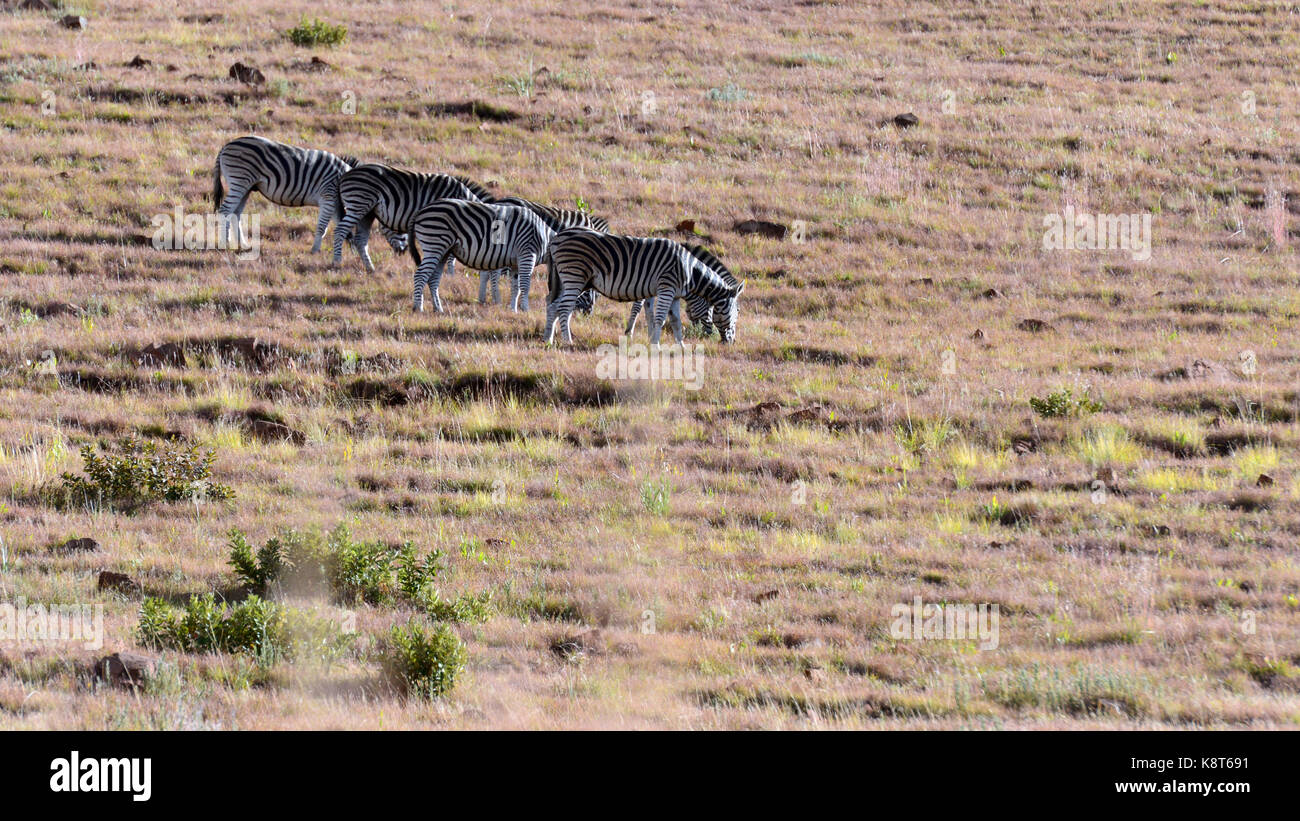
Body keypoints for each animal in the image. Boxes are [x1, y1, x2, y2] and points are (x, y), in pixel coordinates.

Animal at [210, 134, 369, 253]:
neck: (342, 178)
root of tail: (225, 146)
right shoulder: (328, 196)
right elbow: (323, 226)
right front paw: (315, 251)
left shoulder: (334, 201)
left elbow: (341, 223)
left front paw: (352, 250)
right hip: (240, 181)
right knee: (225, 210)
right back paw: (225, 244)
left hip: (246, 187)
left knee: (235, 213)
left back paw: (243, 245)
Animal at [332, 163, 493, 272]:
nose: (402, 252)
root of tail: (345, 175)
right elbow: (450, 255)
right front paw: (450, 275)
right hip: (358, 204)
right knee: (340, 230)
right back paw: (337, 262)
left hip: (368, 212)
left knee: (360, 240)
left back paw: (370, 268)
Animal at [410, 200, 553, 313]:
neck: (546, 238)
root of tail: (420, 211)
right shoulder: (527, 254)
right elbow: (525, 285)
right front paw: (525, 309)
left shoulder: (516, 263)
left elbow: (515, 288)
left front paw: (514, 310)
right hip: (435, 244)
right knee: (420, 275)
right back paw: (418, 308)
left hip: (443, 251)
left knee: (433, 279)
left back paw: (438, 309)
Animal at [478, 196, 608, 307]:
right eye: (595, 291)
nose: (587, 312)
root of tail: (498, 202)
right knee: (494, 272)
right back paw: (496, 300)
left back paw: (482, 299)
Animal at [543, 229, 743, 345]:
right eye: (738, 311)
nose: (731, 342)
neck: (690, 270)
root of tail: (556, 238)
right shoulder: (666, 288)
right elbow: (659, 318)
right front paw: (655, 344)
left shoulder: (674, 295)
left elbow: (675, 322)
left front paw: (681, 347)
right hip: (575, 276)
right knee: (564, 307)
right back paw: (568, 342)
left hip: (572, 280)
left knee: (553, 305)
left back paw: (549, 340)